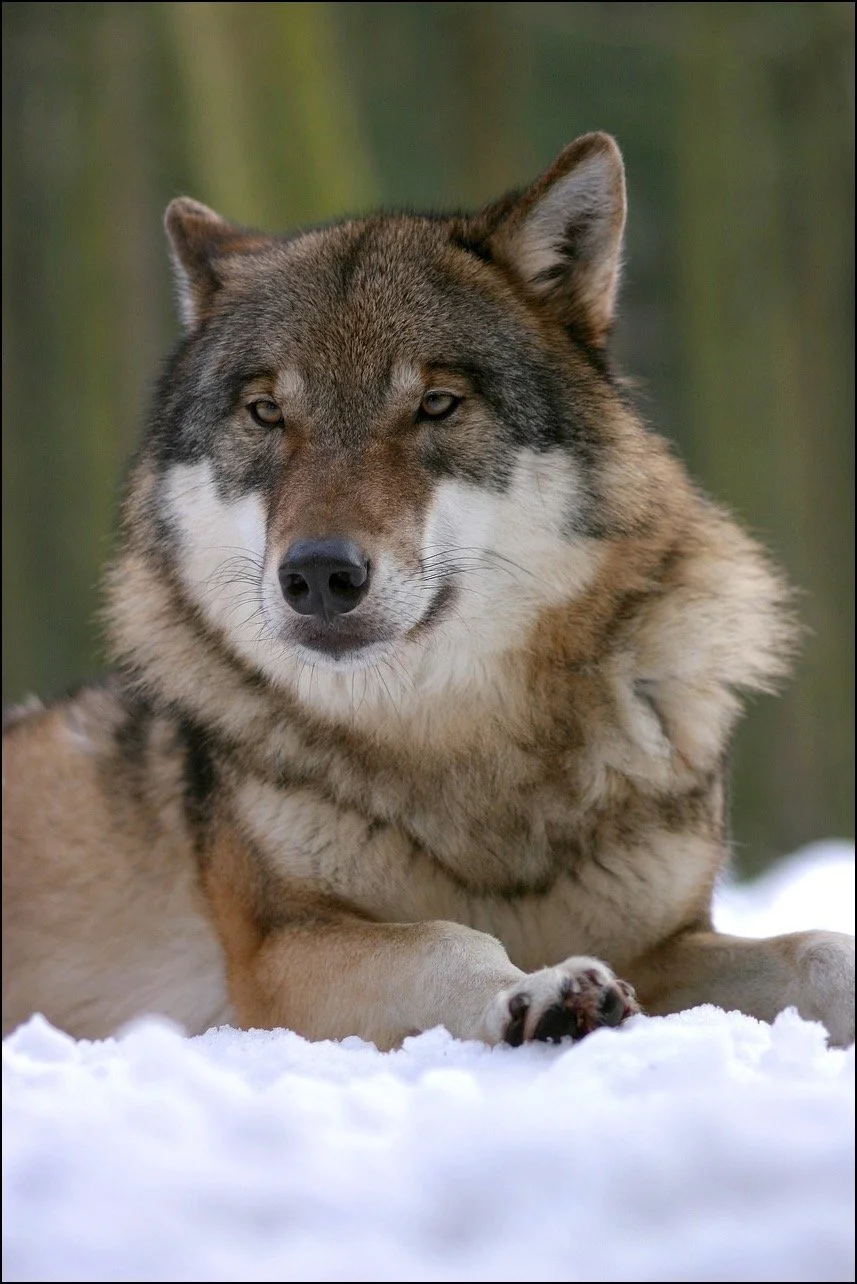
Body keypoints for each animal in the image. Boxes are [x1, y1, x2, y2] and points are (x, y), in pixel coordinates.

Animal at [3, 133, 854, 1049]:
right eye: (266, 413)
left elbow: (819, 949)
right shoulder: (279, 955)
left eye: (436, 404)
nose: (318, 575)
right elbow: (452, 939)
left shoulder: (664, 943)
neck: (458, 738)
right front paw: (542, 988)